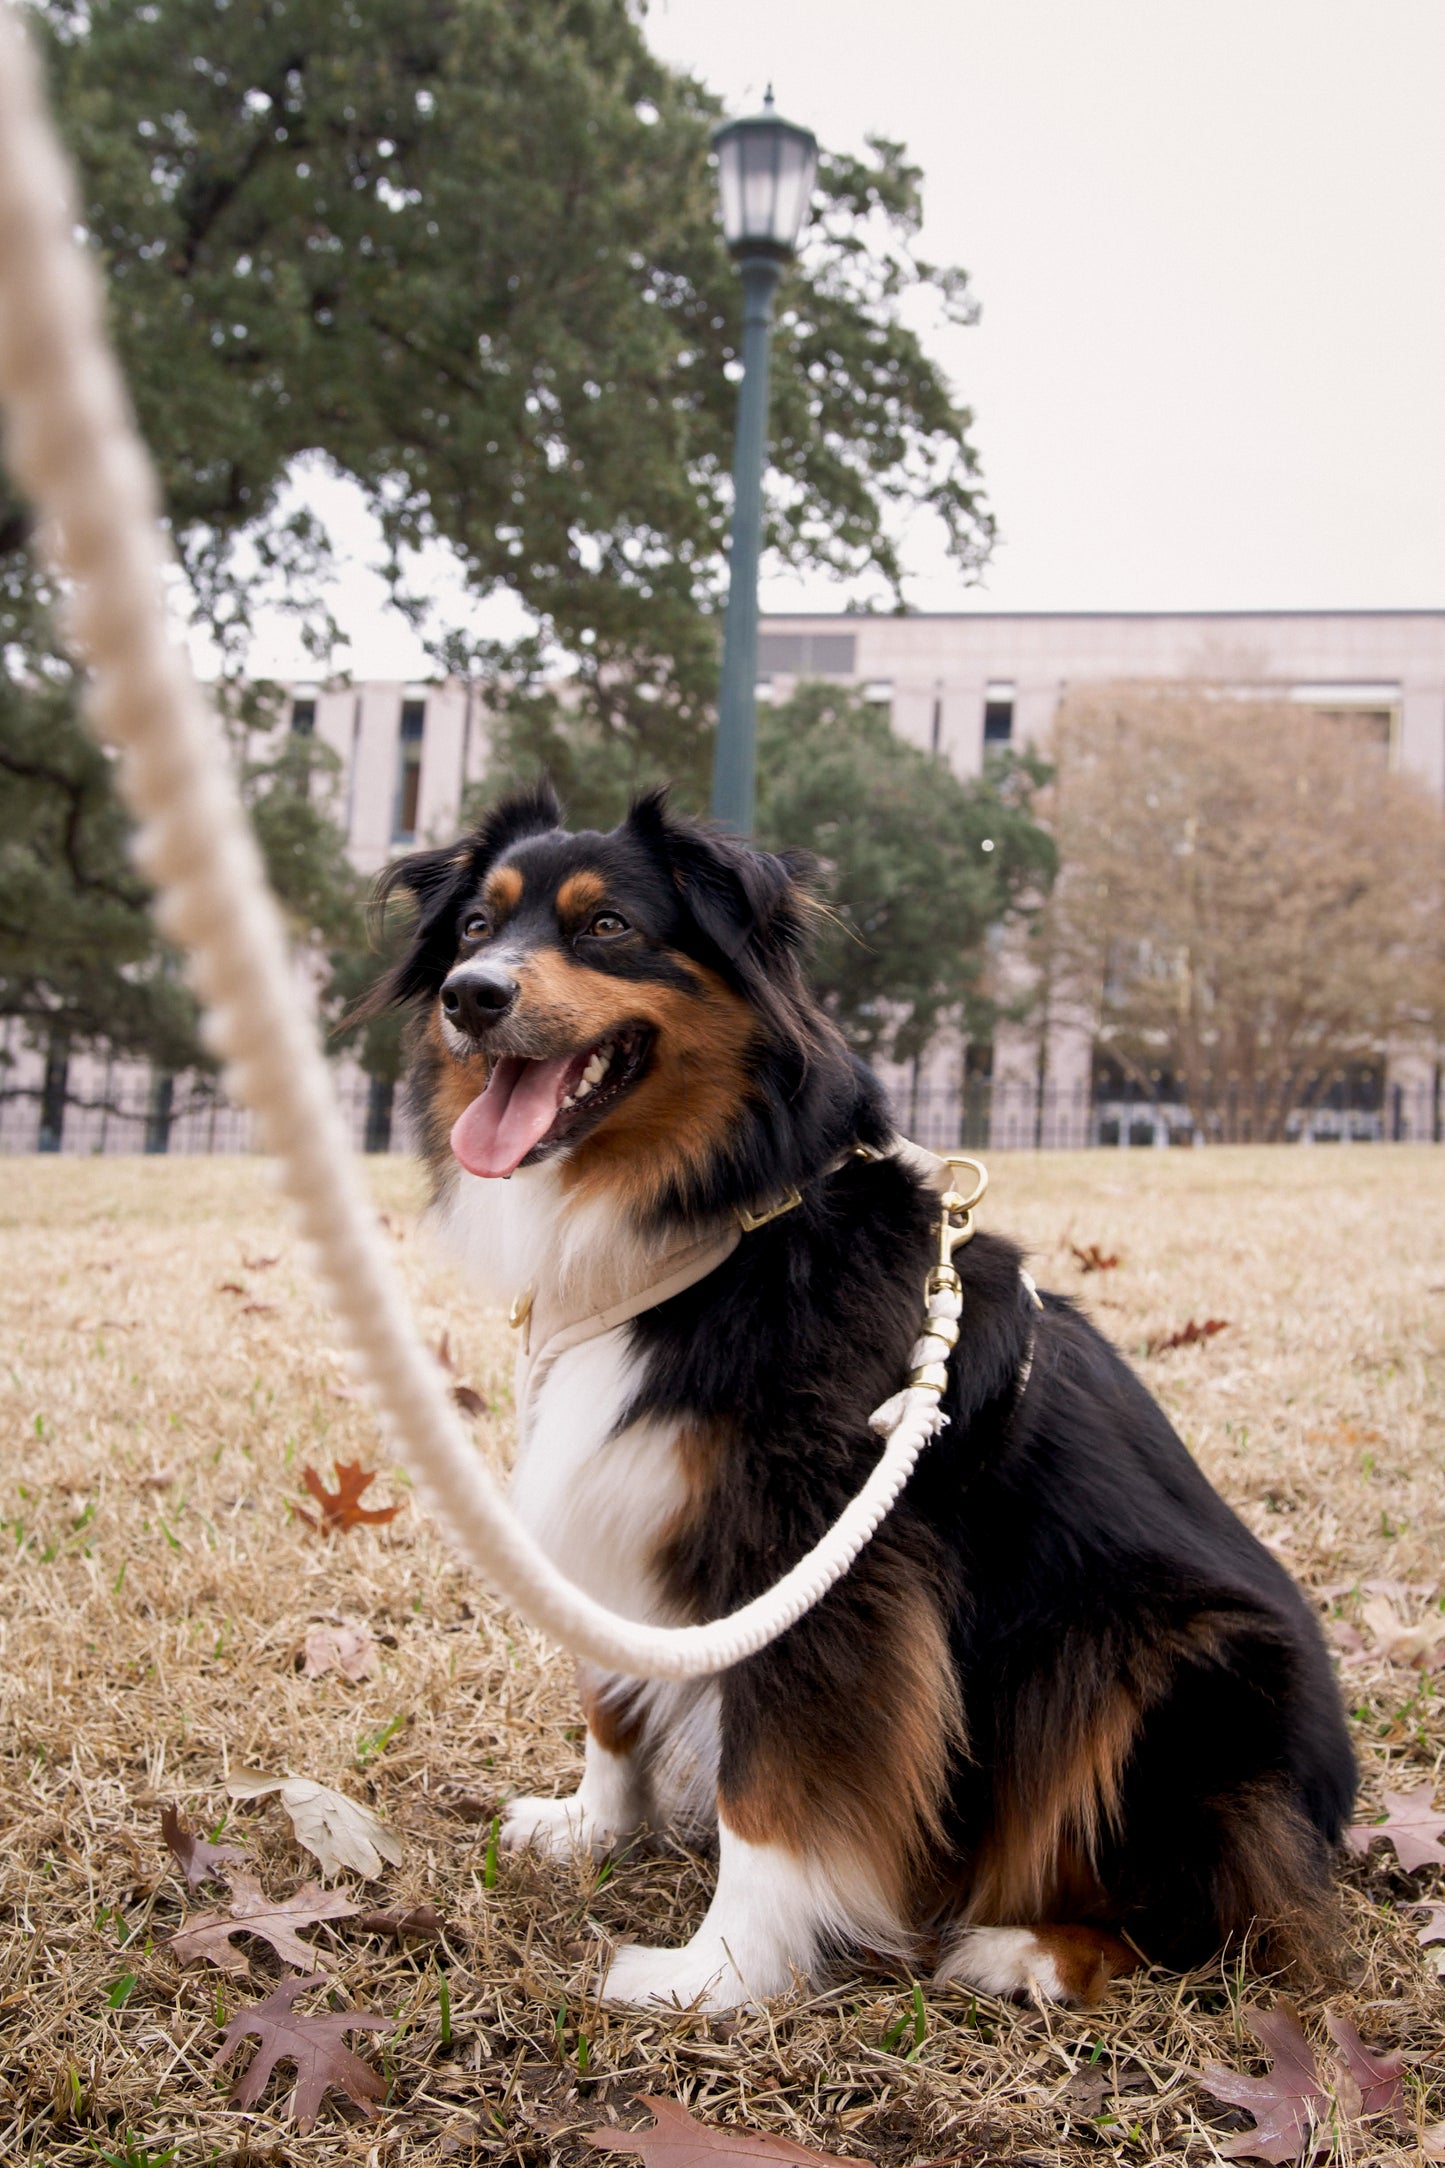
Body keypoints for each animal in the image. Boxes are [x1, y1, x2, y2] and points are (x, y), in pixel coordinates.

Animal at [370, 789, 1360, 2003]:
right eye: (474, 926)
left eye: (606, 927)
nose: (473, 996)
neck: (720, 1221)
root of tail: (1328, 1810)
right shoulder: (612, 1499)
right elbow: (610, 1698)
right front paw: (595, 1825)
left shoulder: (817, 1556)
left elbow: (770, 1783)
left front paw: (720, 1970)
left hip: (1160, 1659)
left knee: (1225, 1908)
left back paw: (1030, 1948)